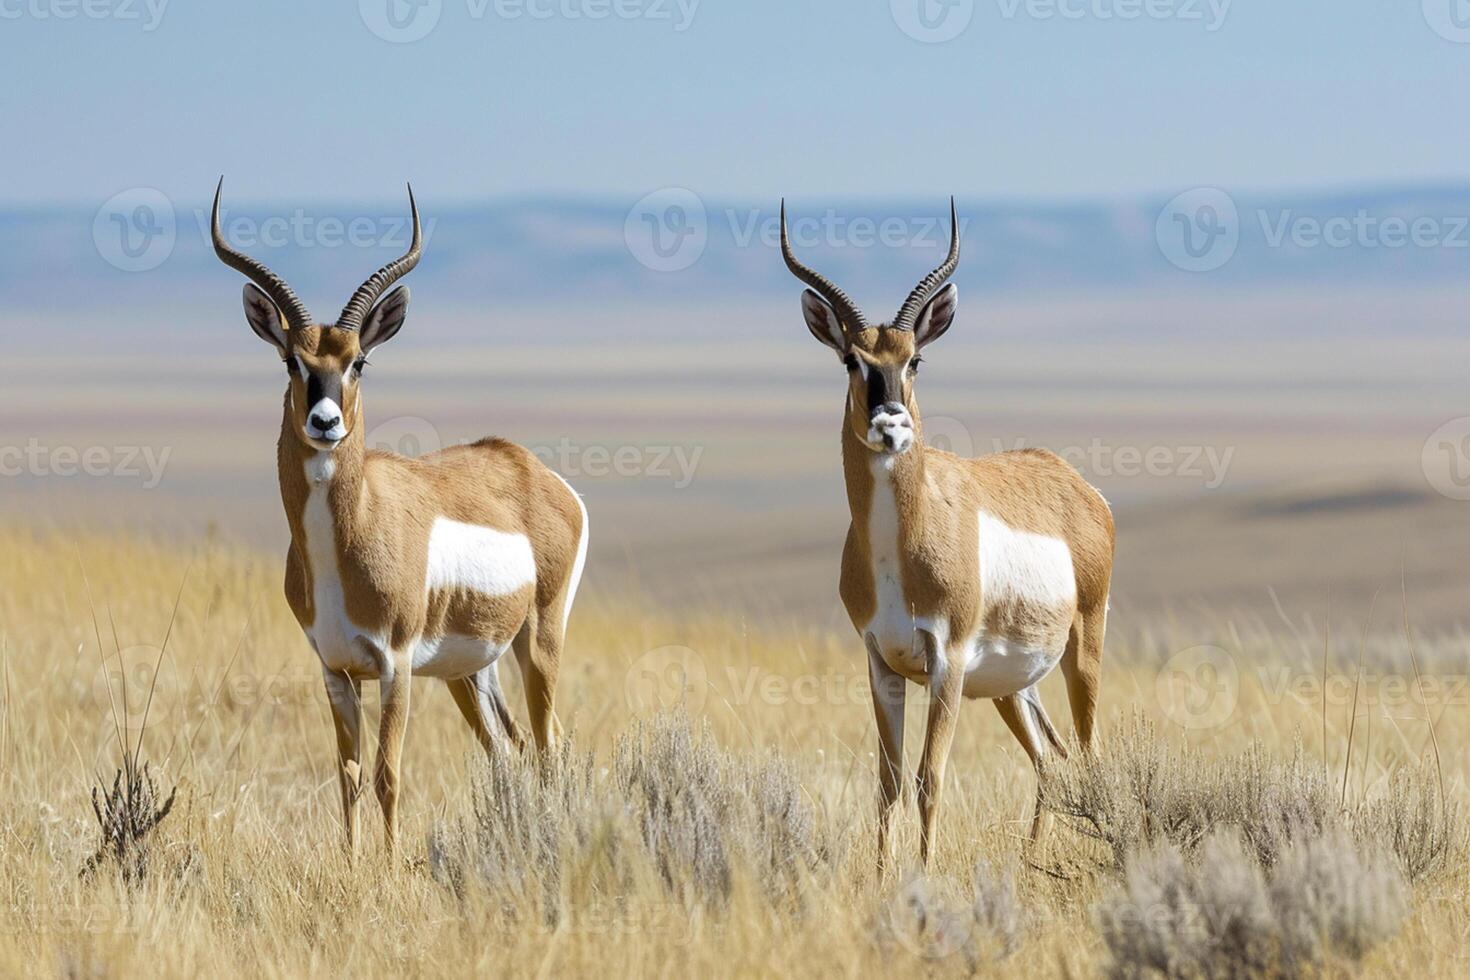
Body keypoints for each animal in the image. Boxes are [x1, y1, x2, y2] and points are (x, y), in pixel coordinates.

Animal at [214, 179, 590, 852]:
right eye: (292, 361)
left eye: (358, 360)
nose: (326, 423)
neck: (351, 532)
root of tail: (536, 471)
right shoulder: (336, 671)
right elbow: (349, 778)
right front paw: (353, 864)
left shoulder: (394, 668)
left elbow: (389, 775)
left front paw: (387, 868)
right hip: (471, 672)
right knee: (511, 751)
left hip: (538, 644)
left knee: (550, 750)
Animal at [782, 199, 1111, 863]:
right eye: (853, 359)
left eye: (915, 359)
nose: (890, 424)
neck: (898, 548)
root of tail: (1081, 489)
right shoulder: (881, 662)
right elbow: (887, 783)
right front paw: (881, 874)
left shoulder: (947, 661)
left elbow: (928, 779)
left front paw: (923, 874)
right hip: (1014, 688)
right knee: (1052, 761)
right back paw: (1031, 860)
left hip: (1081, 657)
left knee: (1090, 760)